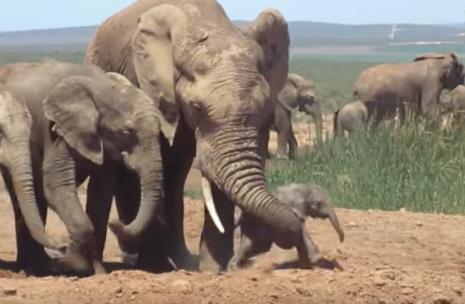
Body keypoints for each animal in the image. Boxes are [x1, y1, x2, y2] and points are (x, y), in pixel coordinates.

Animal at [0, 60, 168, 276]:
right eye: (126, 132)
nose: (117, 223)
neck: (104, 88)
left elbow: (101, 194)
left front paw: (98, 272)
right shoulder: (56, 131)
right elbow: (57, 188)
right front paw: (76, 265)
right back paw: (31, 268)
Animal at [86, 0, 306, 272]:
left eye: (264, 105)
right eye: (196, 107)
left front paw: (214, 269)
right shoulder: (141, 80)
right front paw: (157, 267)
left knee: (175, 176)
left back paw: (179, 260)